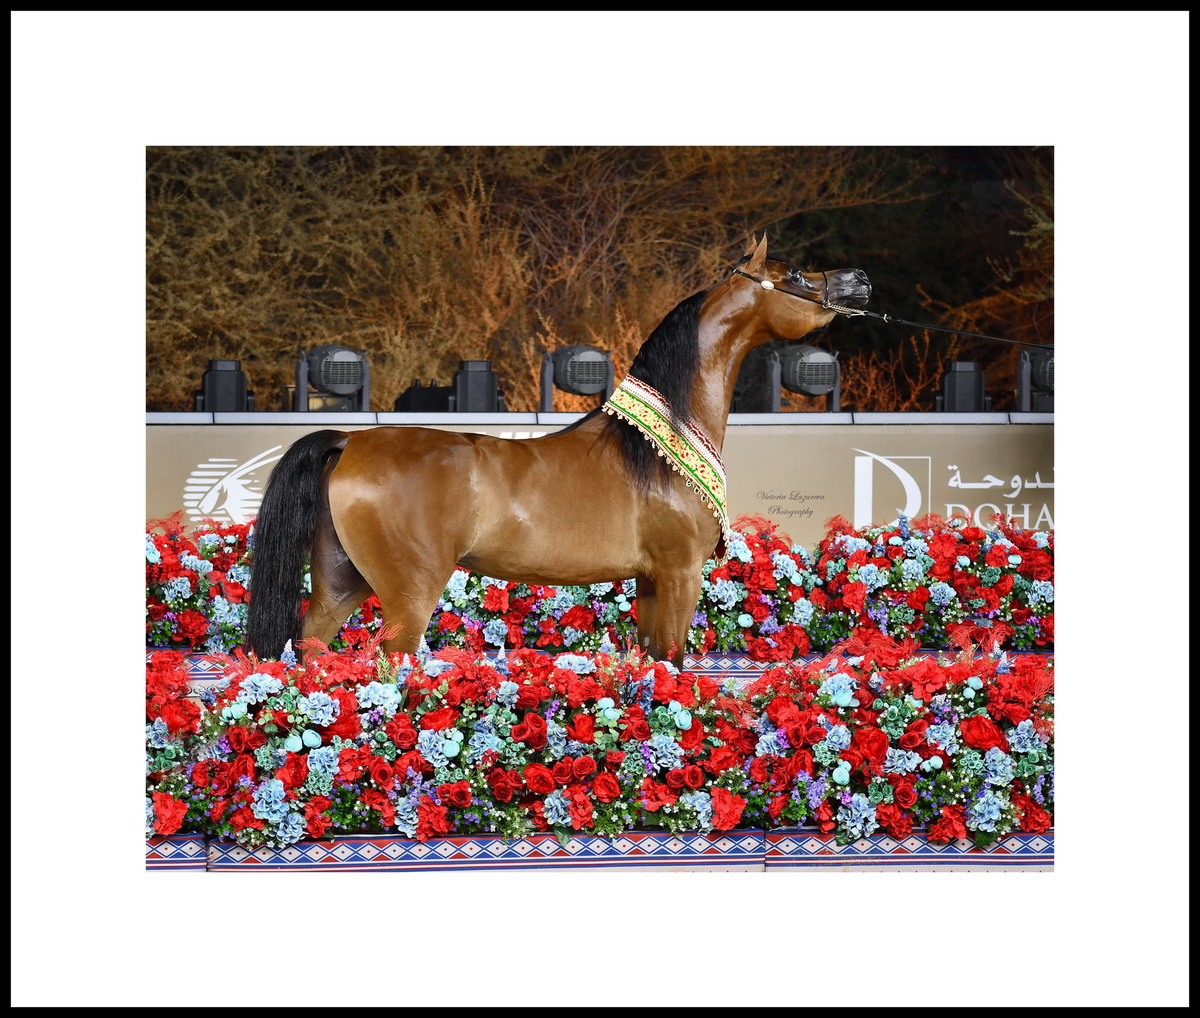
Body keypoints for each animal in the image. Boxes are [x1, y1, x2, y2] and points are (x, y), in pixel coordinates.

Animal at [246, 235, 870, 667]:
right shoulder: (680, 573)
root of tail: (350, 439)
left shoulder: (650, 580)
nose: (858, 278)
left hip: (340, 580)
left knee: (312, 654)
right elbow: (673, 664)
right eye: (794, 274)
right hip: (407, 595)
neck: (659, 447)